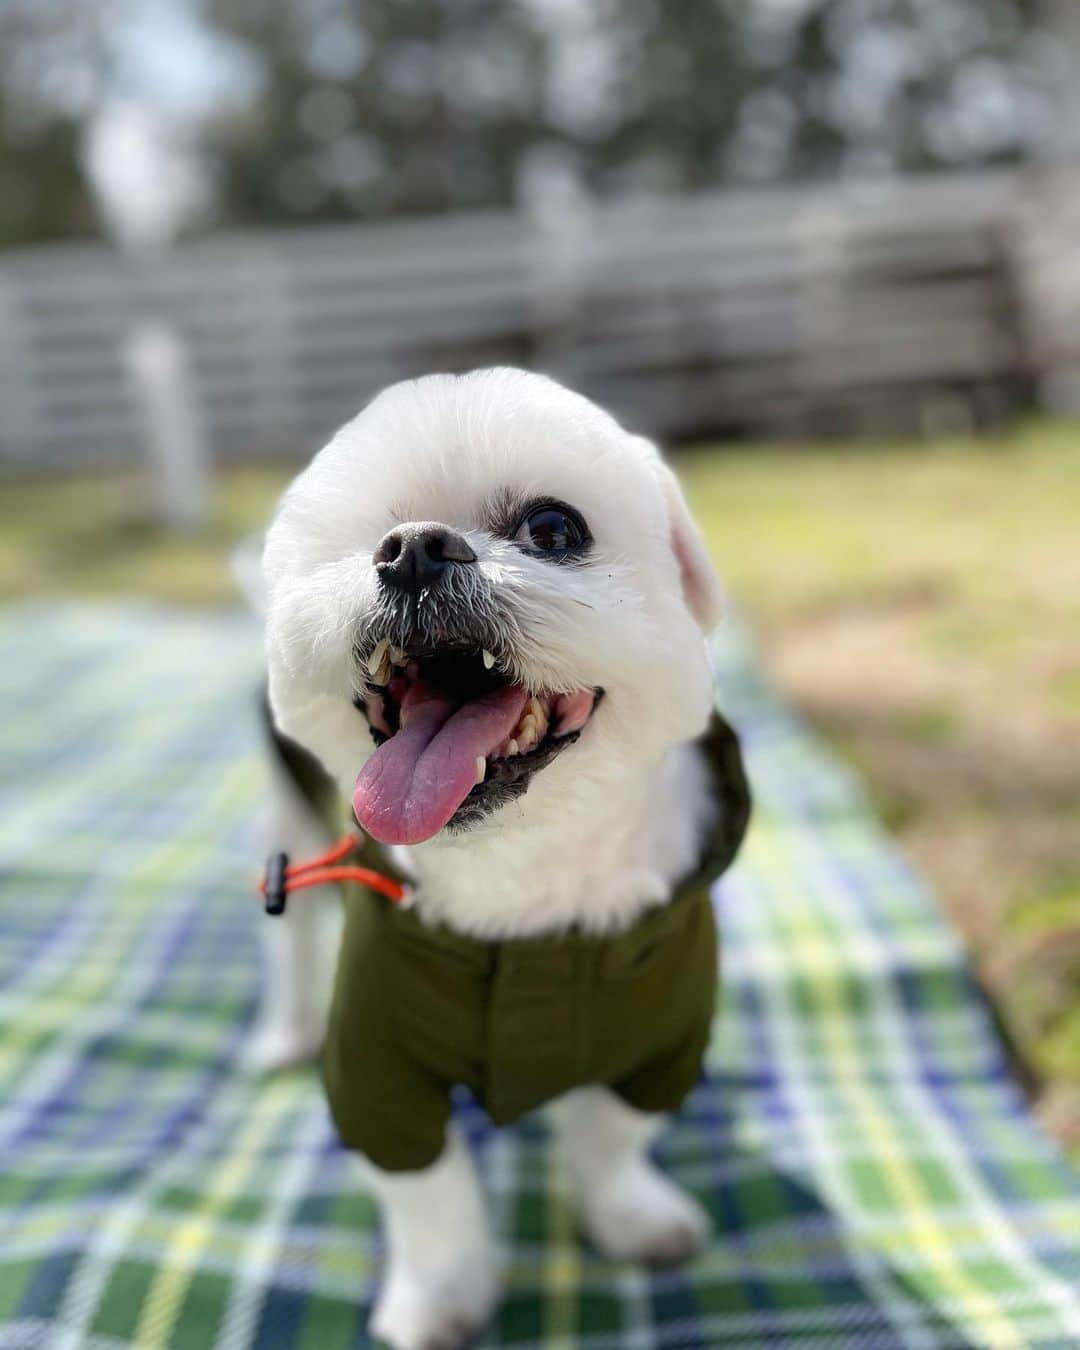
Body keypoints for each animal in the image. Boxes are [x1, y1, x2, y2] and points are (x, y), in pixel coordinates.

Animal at [248, 369, 745, 1350]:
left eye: (553, 529)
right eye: (370, 537)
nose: (412, 550)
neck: (525, 889)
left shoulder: (660, 1035)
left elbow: (610, 1138)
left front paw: (631, 1217)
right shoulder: (377, 1063)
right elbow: (430, 1198)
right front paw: (441, 1298)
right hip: (289, 819)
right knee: (289, 936)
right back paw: (283, 1031)